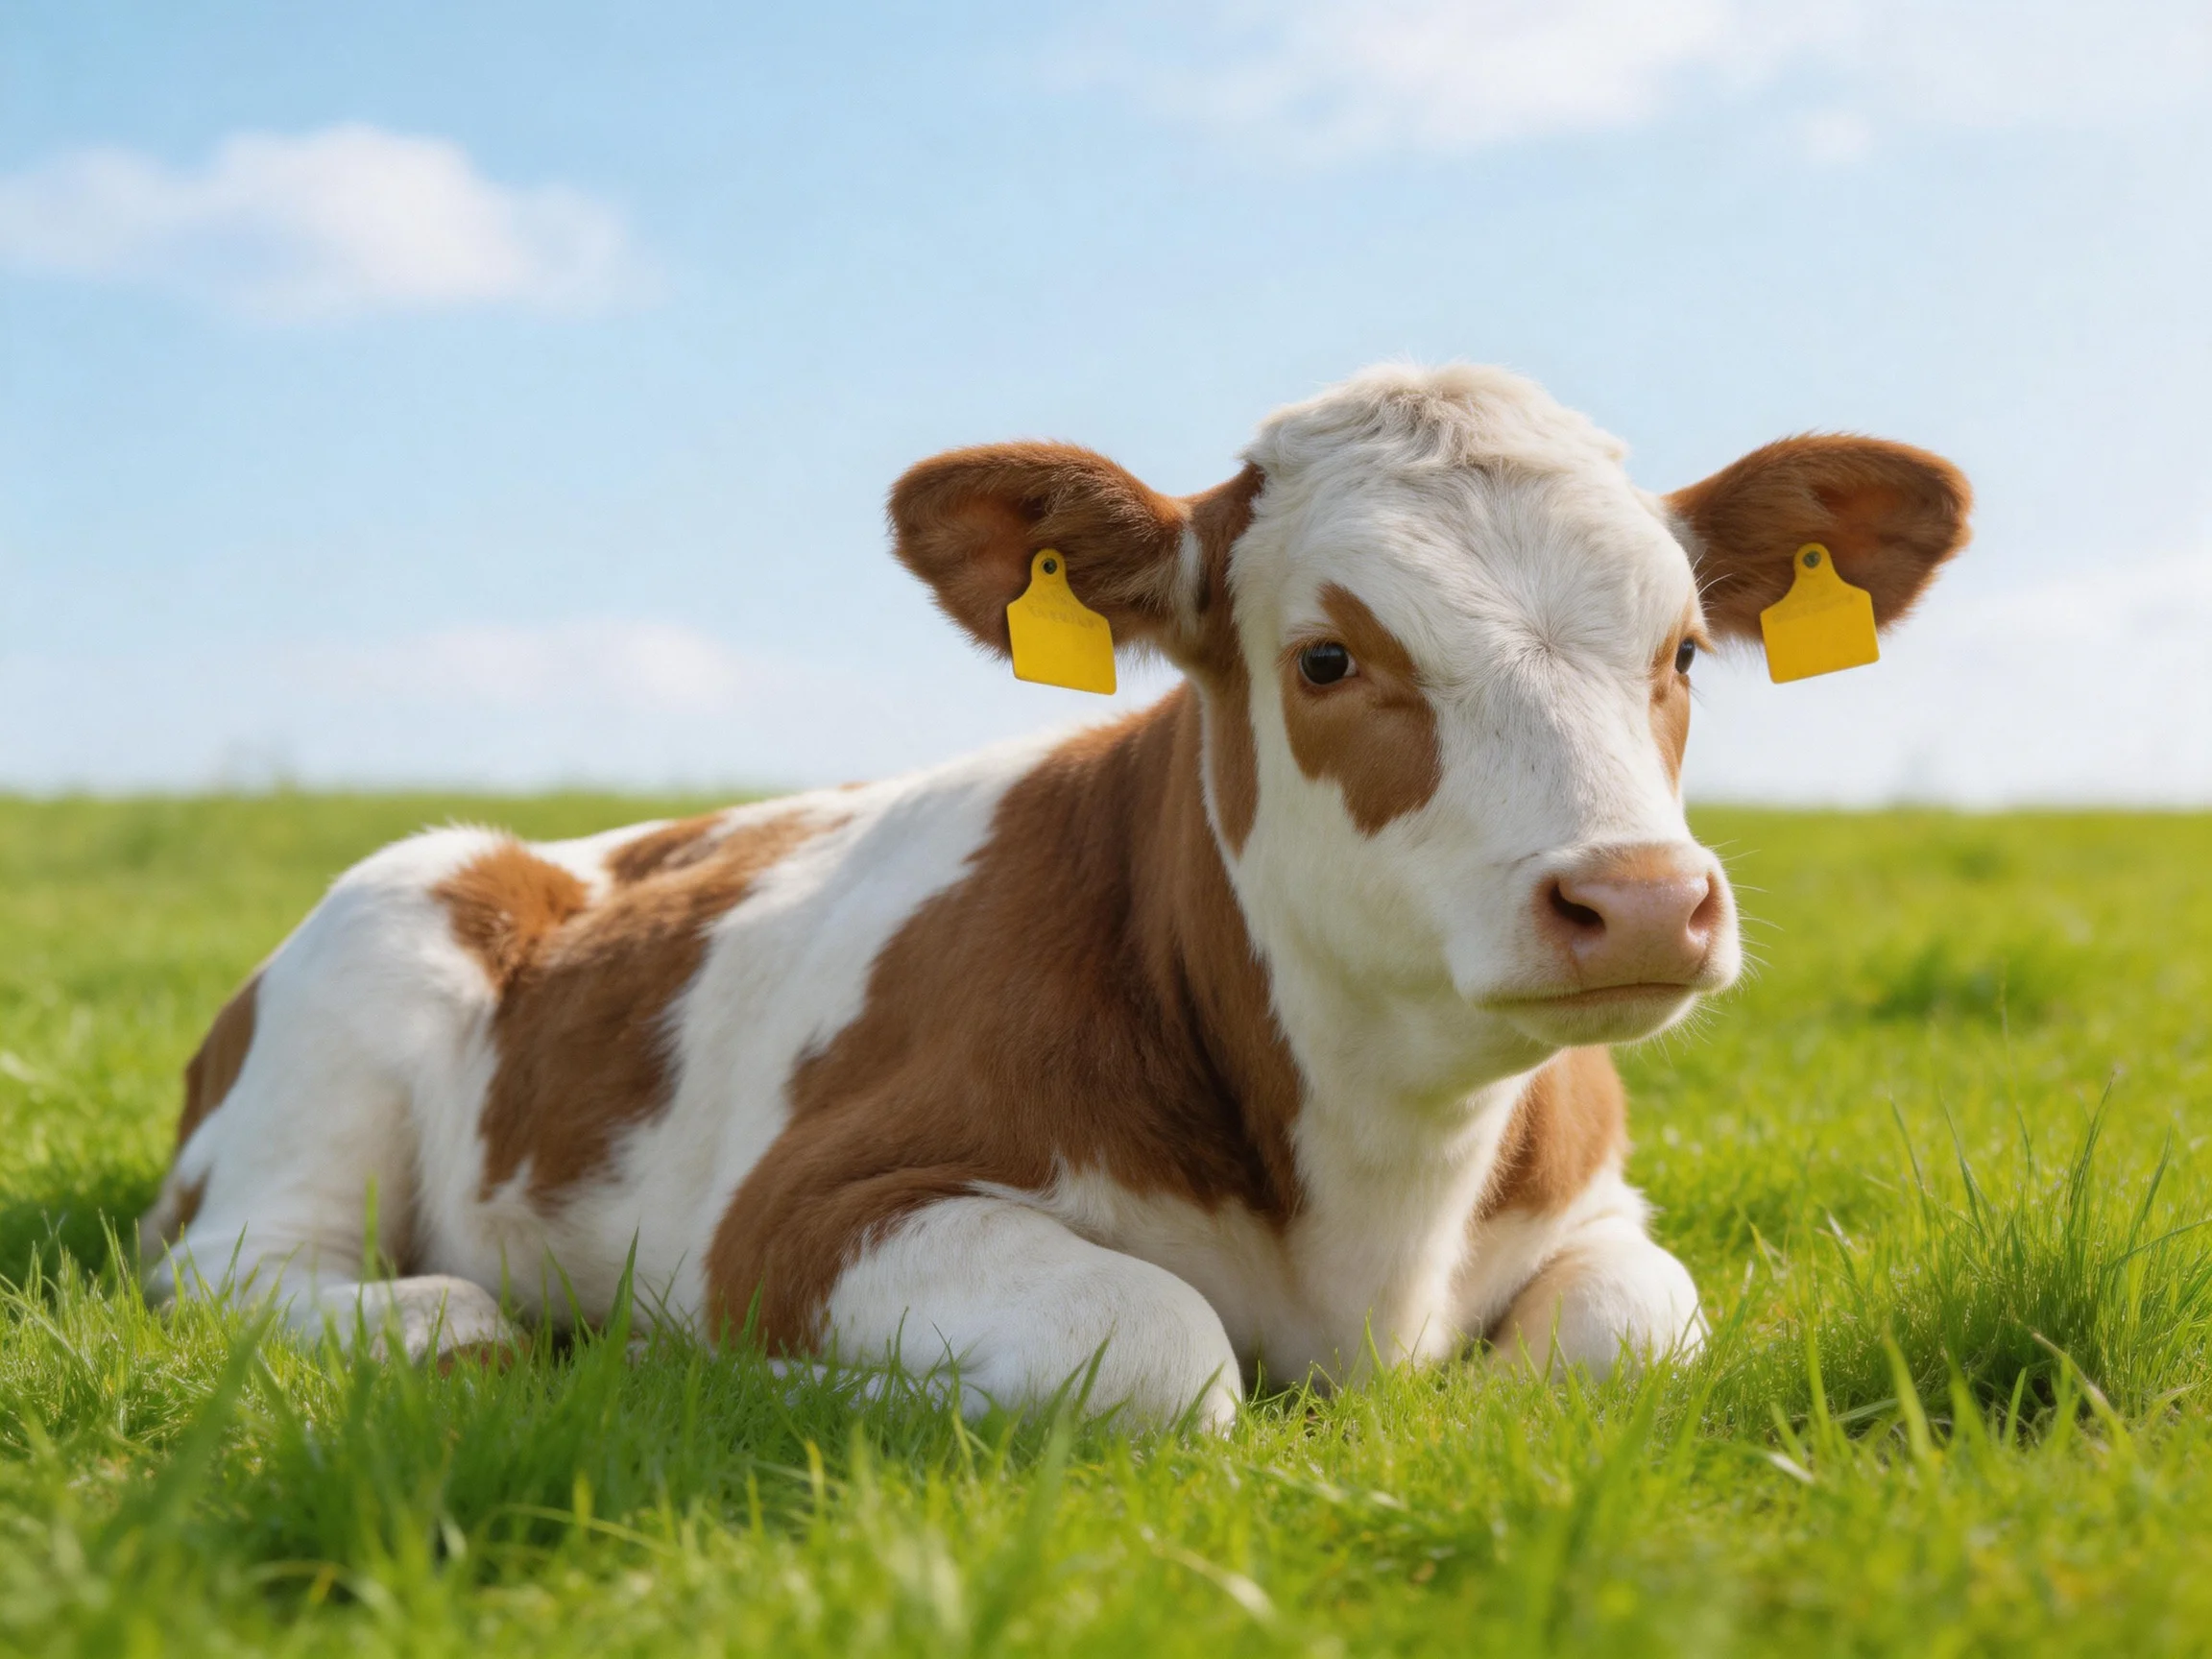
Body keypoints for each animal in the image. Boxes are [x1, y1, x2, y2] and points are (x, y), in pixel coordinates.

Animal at [140, 364, 1970, 1427]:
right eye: (1328, 655)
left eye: (1681, 652)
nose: (1642, 901)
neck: (1377, 1195)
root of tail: (552, 849)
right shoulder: (797, 1211)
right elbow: (1161, 1353)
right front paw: (727, 1374)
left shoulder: (1603, 1220)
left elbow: (1615, 1343)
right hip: (360, 982)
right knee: (264, 1273)